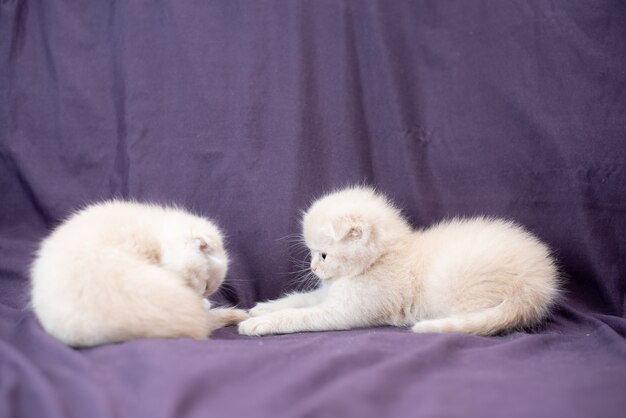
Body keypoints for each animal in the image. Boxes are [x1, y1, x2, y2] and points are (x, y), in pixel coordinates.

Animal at [238, 186, 556, 336]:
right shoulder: (327, 294)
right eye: (312, 253)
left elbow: (299, 315)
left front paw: (259, 323)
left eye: (323, 254)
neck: (378, 261)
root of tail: (537, 284)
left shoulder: (345, 310)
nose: (314, 268)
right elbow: (298, 300)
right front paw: (261, 308)